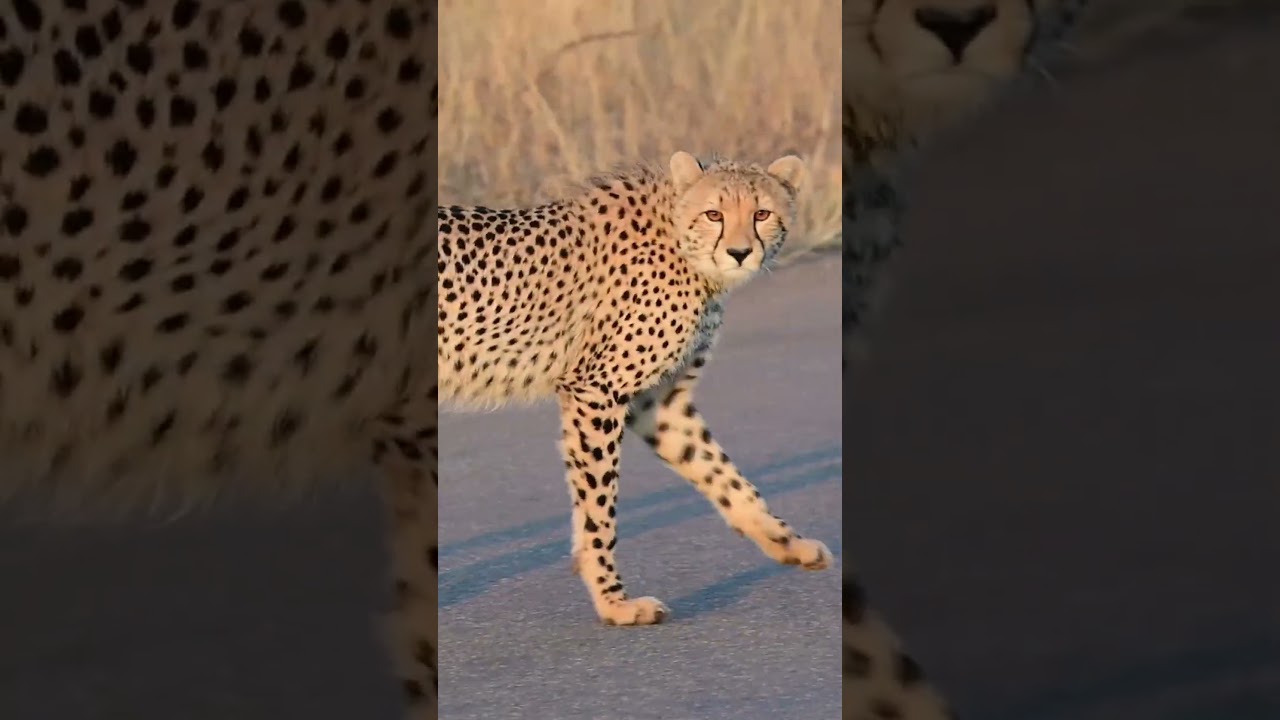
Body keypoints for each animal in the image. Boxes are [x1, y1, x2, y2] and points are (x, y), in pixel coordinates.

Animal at [438, 150, 835, 627]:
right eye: (714, 214)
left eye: (762, 214)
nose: (740, 253)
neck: (680, 240)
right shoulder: (596, 391)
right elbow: (599, 508)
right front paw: (614, 602)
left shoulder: (659, 403)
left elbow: (724, 475)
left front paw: (789, 544)